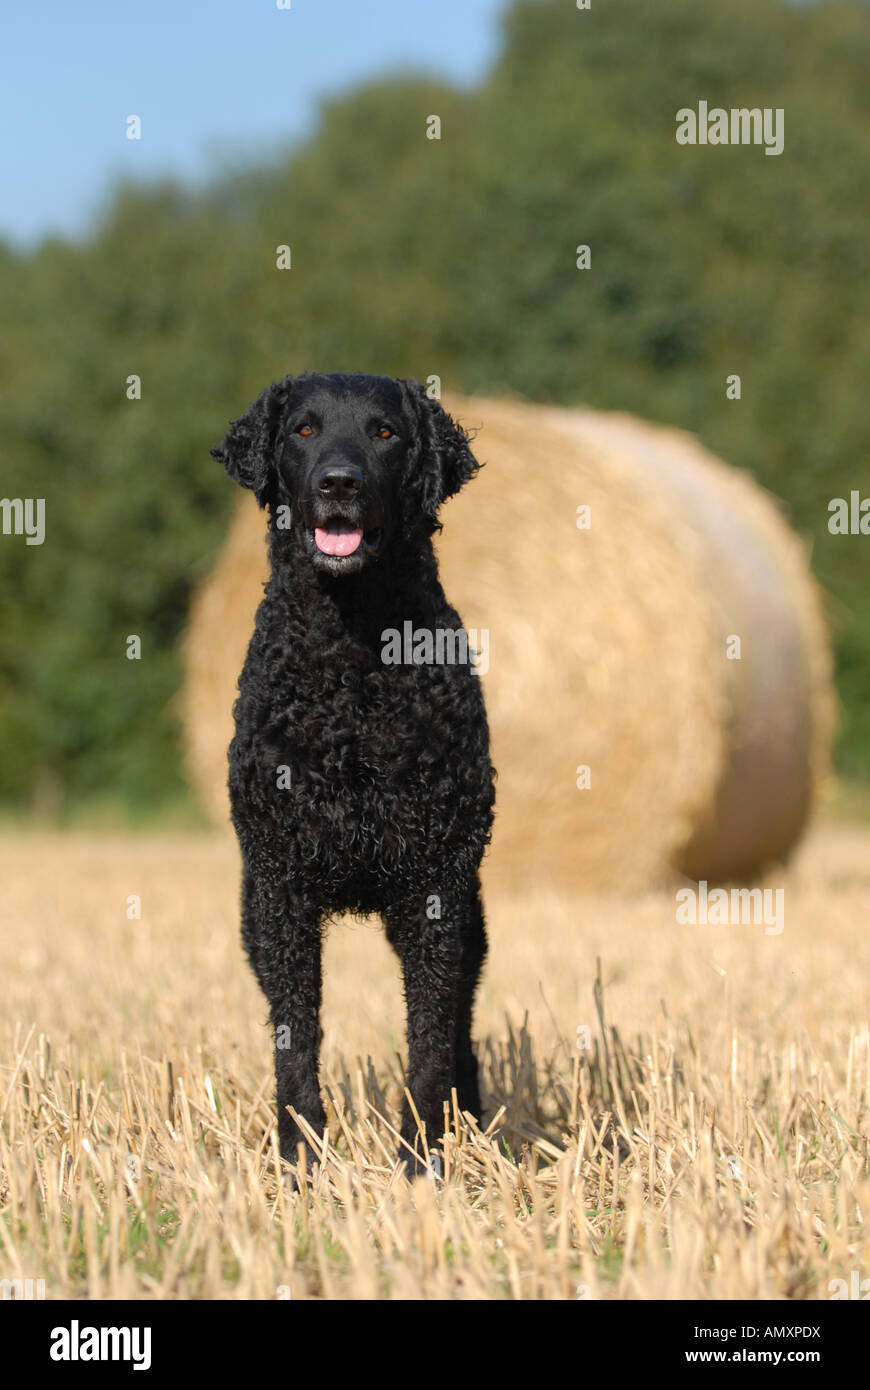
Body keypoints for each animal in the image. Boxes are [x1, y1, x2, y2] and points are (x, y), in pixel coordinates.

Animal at [211, 372, 494, 1173]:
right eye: (303, 430)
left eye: (385, 433)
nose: (339, 483)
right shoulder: (280, 889)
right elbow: (295, 1039)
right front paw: (301, 1160)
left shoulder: (436, 882)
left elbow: (429, 1038)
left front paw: (422, 1162)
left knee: (461, 1019)